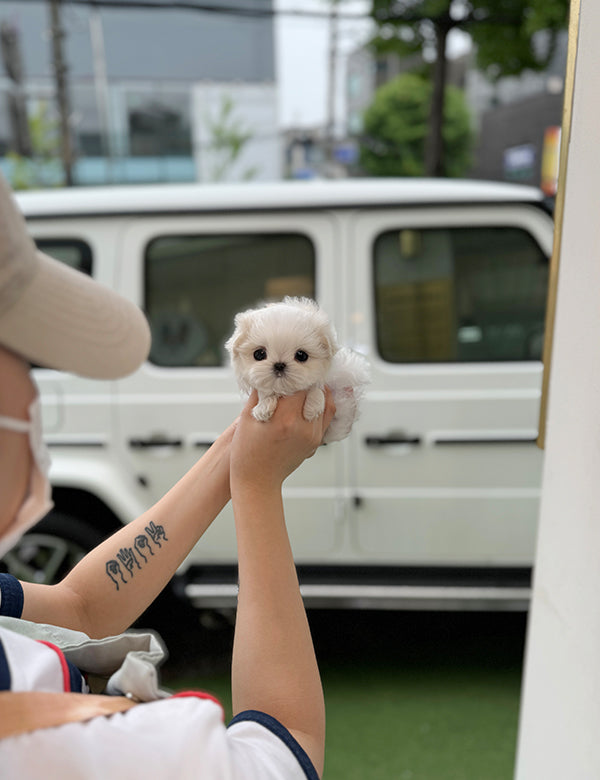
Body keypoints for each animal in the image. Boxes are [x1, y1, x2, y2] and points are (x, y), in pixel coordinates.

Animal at [224, 298, 368, 444]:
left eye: (301, 355)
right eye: (259, 354)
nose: (279, 365)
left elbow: (317, 387)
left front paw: (313, 407)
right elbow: (264, 391)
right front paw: (263, 407)